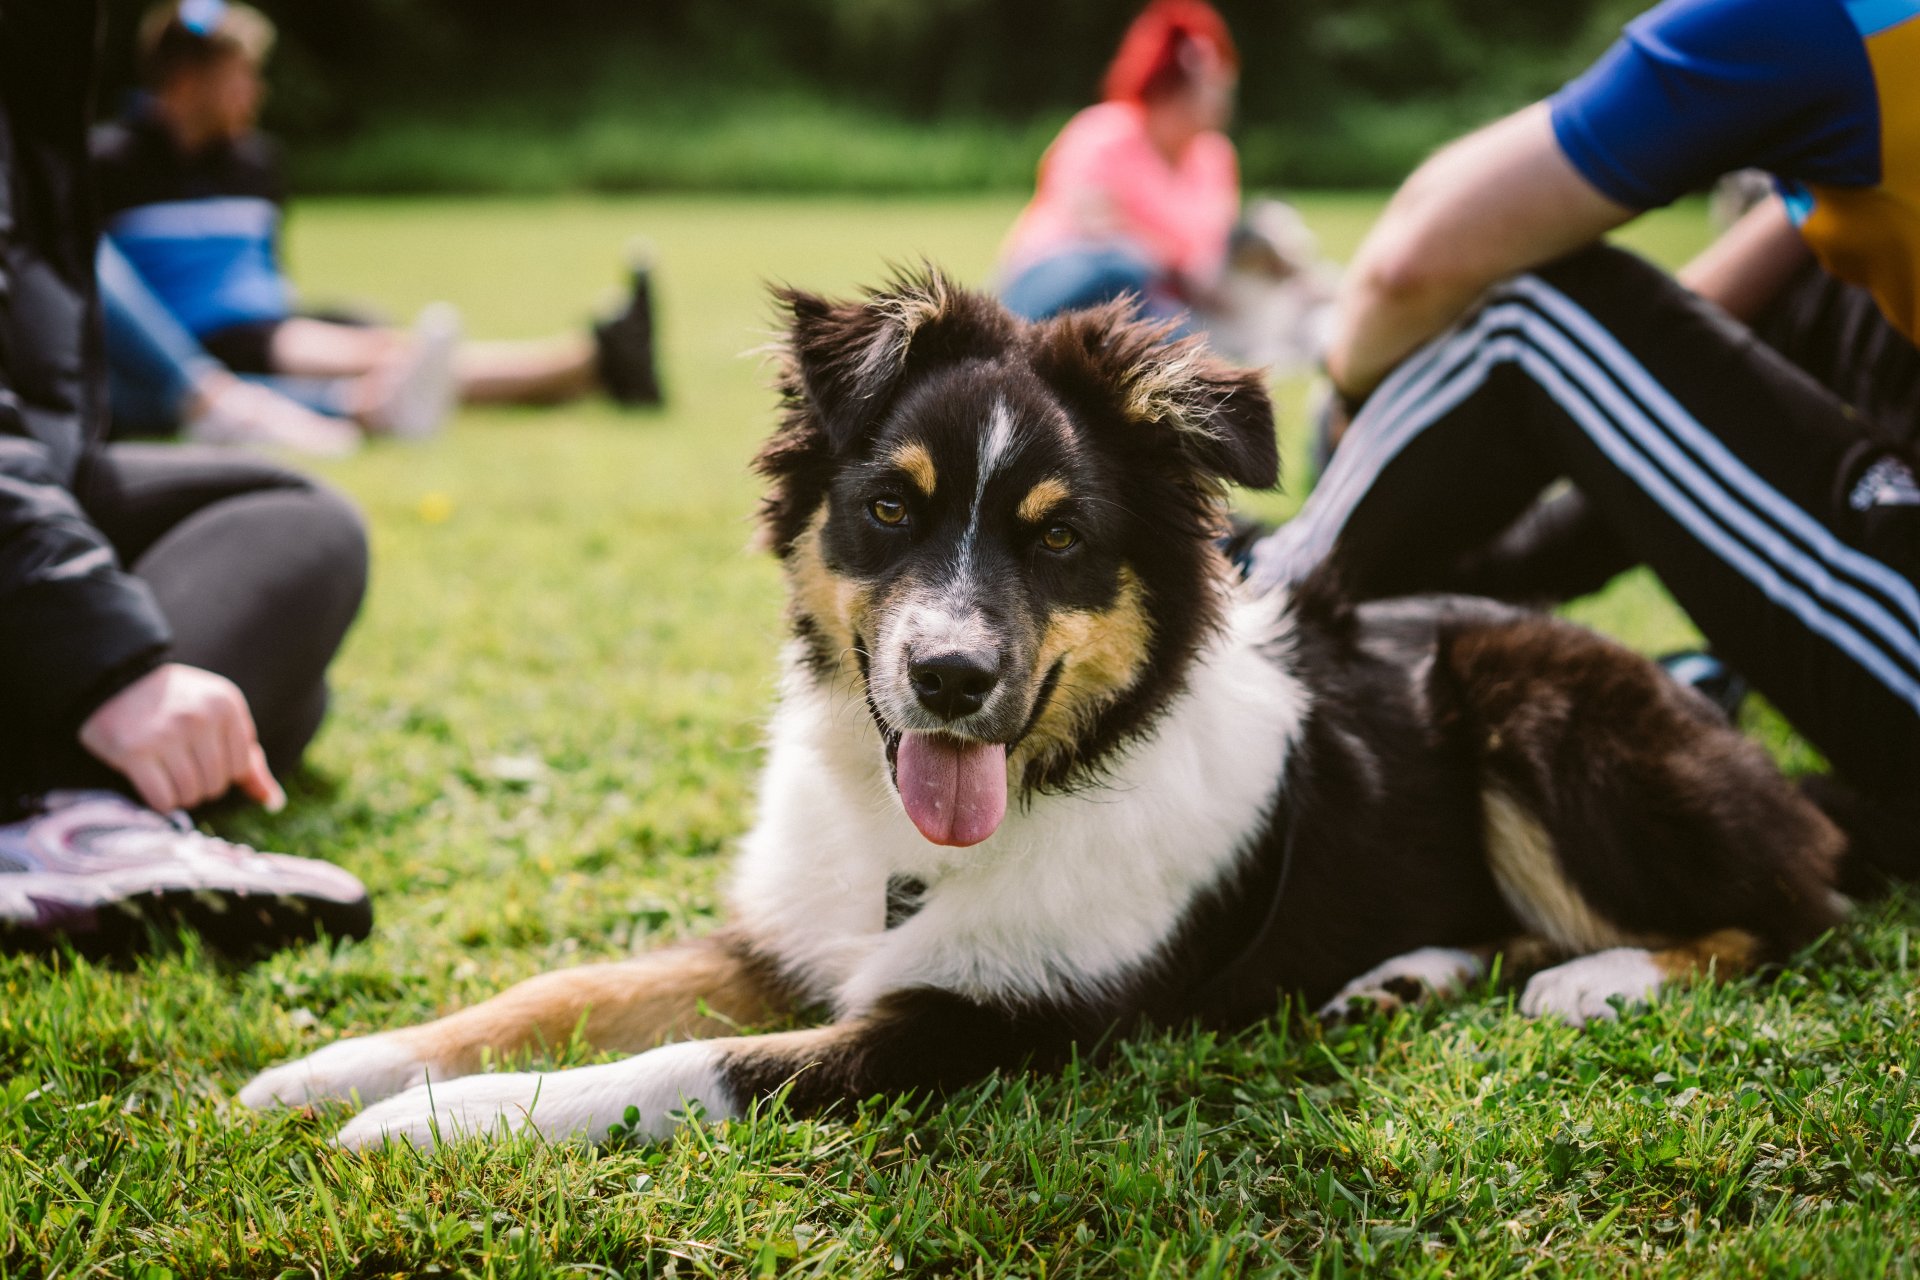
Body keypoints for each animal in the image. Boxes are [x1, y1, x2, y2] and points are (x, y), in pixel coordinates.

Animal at [236, 272, 1843, 1151]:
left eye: (1062, 536)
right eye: (891, 509)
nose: (951, 678)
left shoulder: (976, 1029)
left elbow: (676, 1068)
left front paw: (433, 1125)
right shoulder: (790, 941)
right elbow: (561, 991)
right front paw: (328, 1068)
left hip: (1541, 707)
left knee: (1795, 909)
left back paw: (1600, 975)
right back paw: (1406, 976)